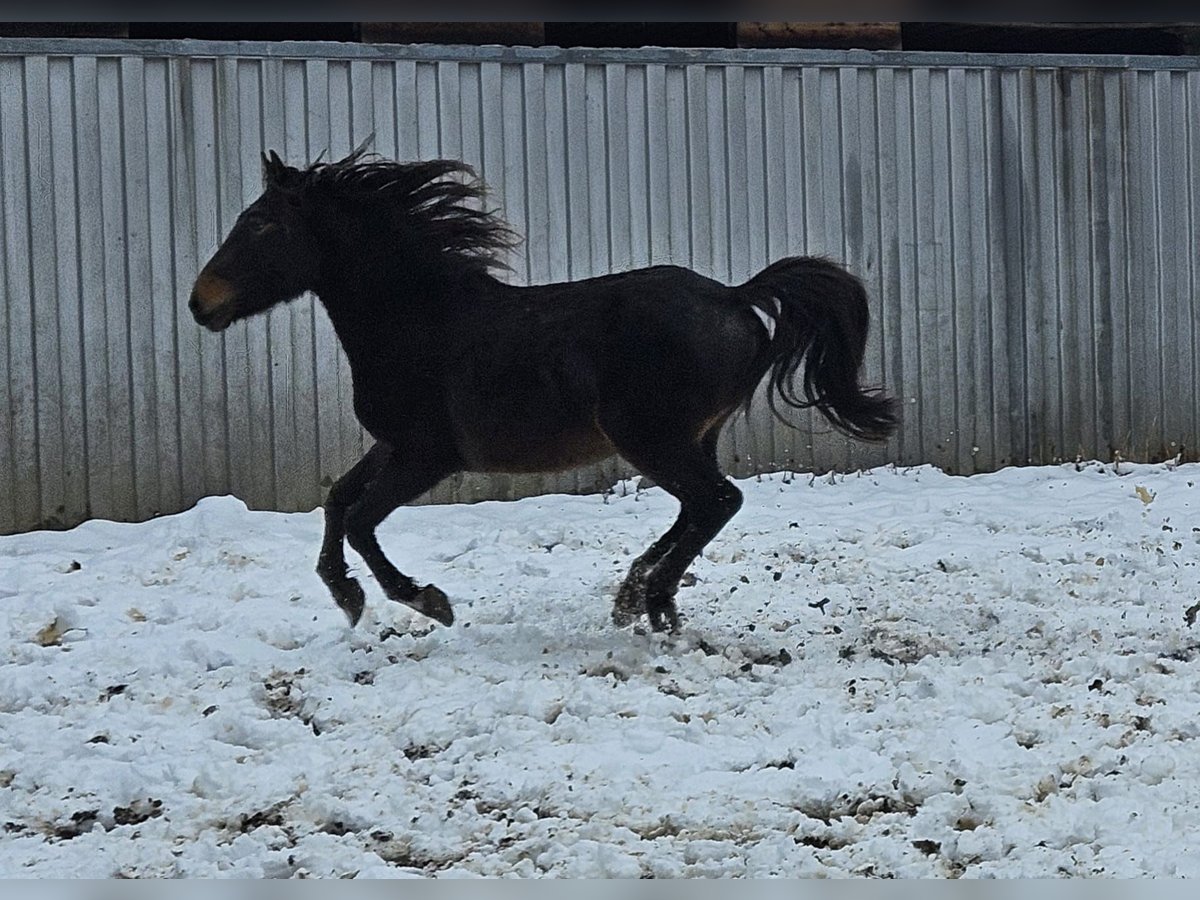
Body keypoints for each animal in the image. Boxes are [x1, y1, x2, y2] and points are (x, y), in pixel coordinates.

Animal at [189, 151, 902, 633]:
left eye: (261, 226)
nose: (201, 304)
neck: (422, 320)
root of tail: (735, 297)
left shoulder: (427, 455)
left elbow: (362, 519)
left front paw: (426, 601)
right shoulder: (394, 445)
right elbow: (338, 500)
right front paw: (347, 596)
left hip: (650, 437)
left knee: (717, 501)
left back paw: (648, 599)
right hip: (689, 437)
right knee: (698, 507)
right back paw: (640, 595)